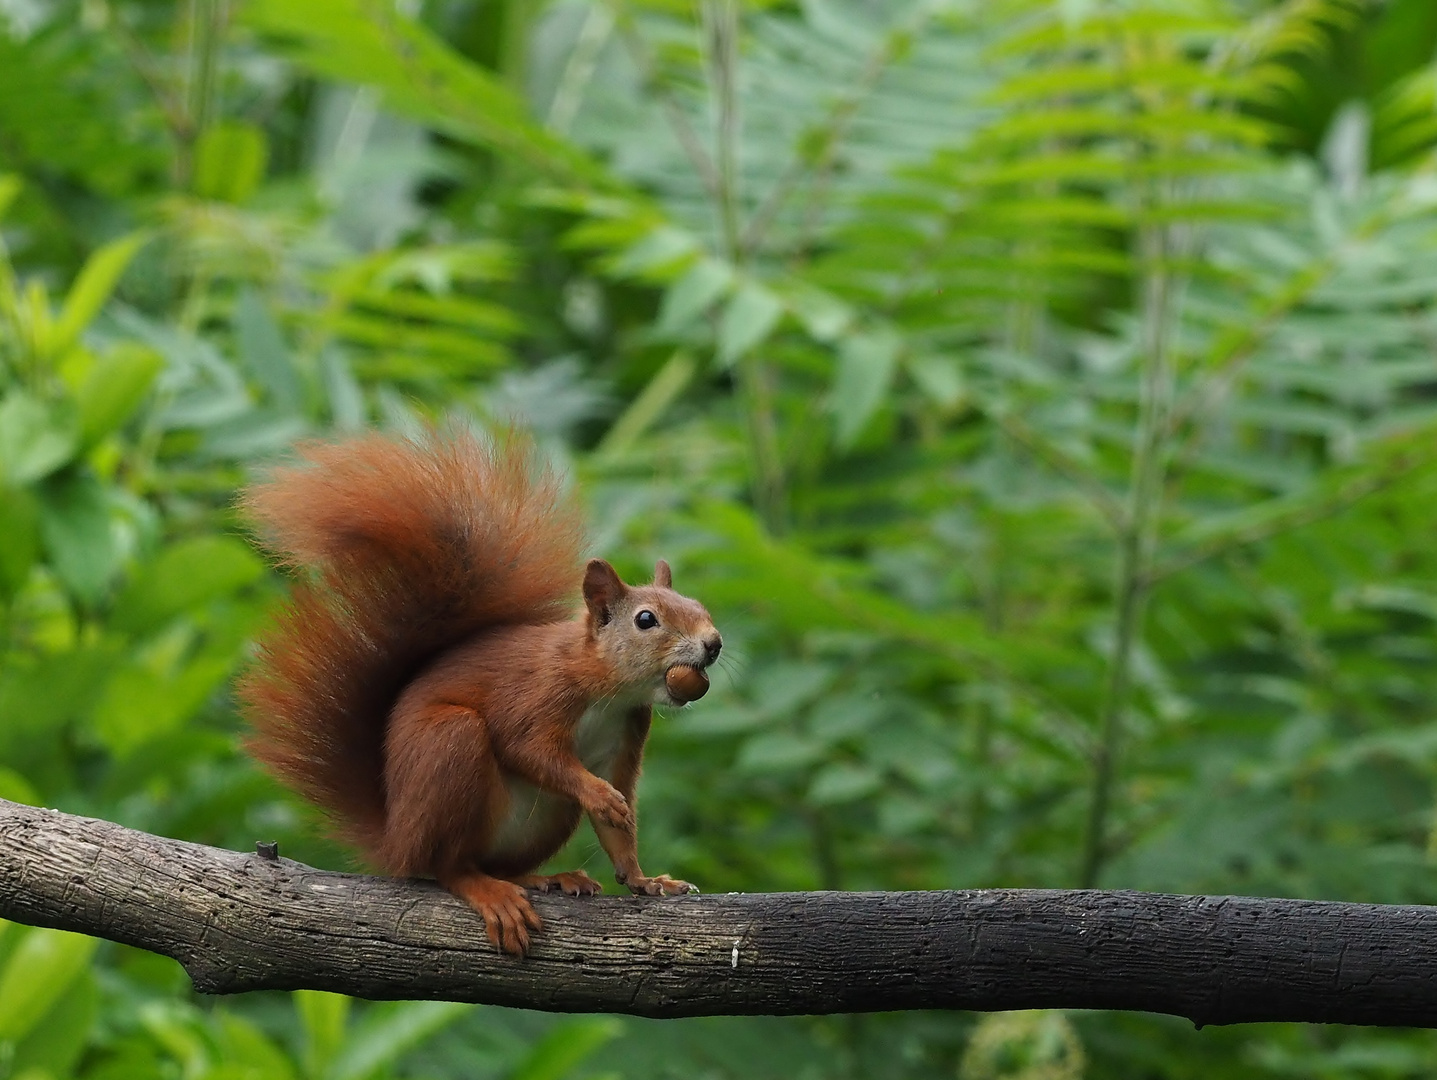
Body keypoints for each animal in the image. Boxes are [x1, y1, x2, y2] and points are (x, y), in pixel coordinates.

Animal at [242, 430, 729, 953]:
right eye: (645, 619)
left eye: (698, 605)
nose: (713, 643)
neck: (608, 689)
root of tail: (395, 840)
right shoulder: (539, 692)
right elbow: (526, 748)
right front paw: (597, 794)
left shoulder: (627, 734)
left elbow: (618, 823)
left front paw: (645, 880)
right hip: (449, 745)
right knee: (446, 867)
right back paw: (487, 889)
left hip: (547, 817)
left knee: (496, 863)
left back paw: (545, 878)